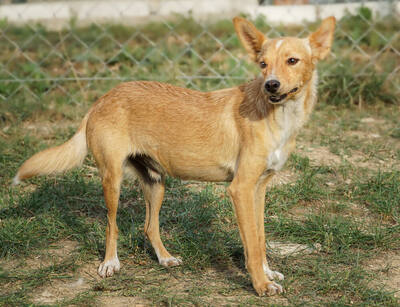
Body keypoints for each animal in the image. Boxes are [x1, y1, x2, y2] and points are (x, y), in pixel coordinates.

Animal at [13, 16, 334, 296]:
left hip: (156, 183)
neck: (276, 116)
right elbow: (252, 246)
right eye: (263, 64)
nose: (271, 85)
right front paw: (261, 285)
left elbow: (260, 237)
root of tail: (102, 99)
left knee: (148, 226)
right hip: (112, 180)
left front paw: (267, 273)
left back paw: (165, 258)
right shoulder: (240, 189)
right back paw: (110, 263)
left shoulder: (259, 189)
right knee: (111, 225)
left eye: (292, 60)